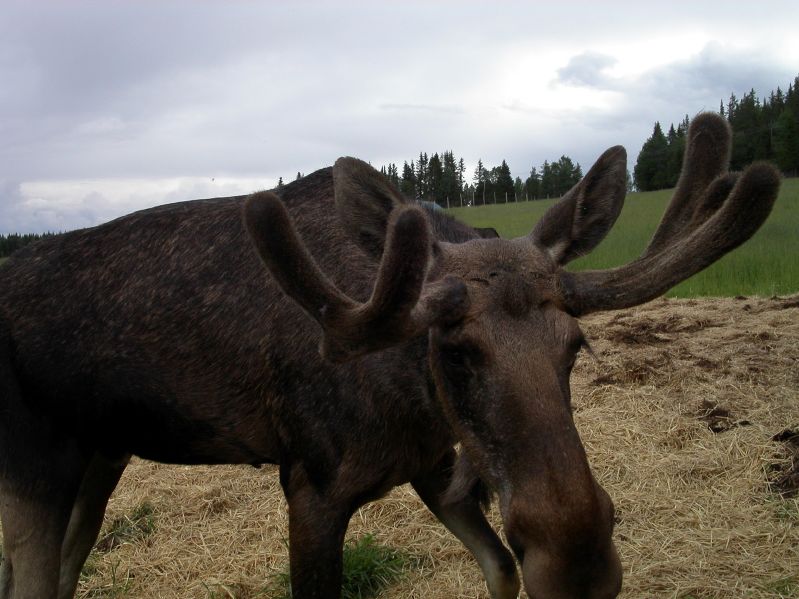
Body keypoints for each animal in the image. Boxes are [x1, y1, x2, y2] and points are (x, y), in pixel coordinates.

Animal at [0, 113, 780, 599]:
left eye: (576, 344)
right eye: (456, 351)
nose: (580, 566)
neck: (408, 396)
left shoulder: (431, 462)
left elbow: (500, 570)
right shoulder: (312, 483)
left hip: (101, 454)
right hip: (36, 462)